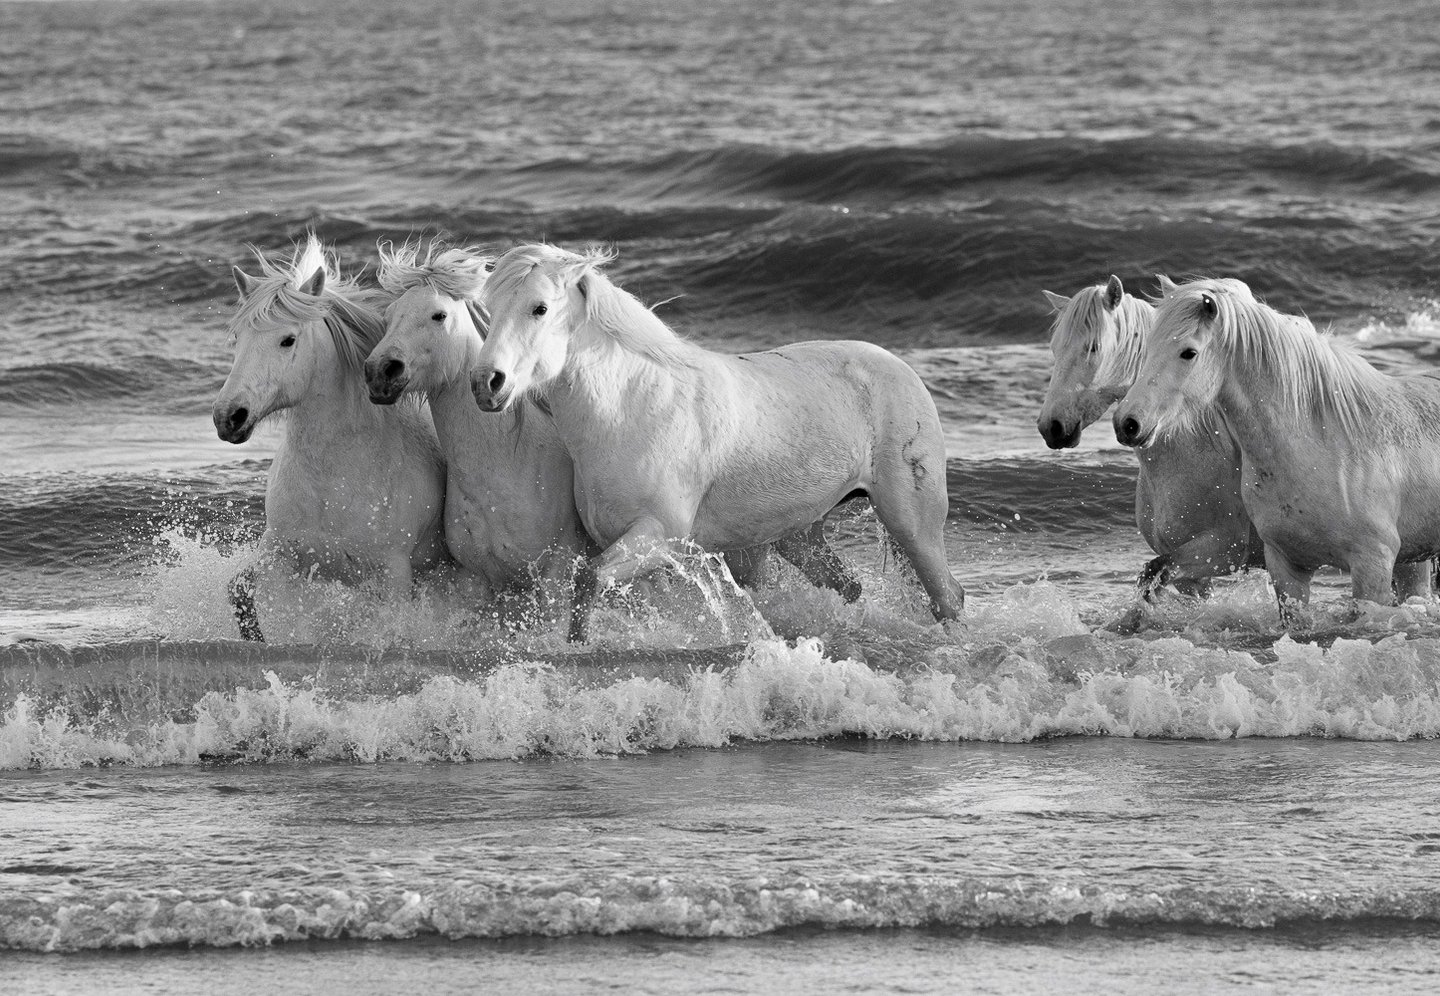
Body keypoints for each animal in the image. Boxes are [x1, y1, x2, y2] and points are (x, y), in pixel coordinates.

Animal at [212, 234, 447, 640]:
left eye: (288, 340)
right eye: (237, 338)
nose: (229, 416)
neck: (331, 481)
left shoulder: (393, 574)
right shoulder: (279, 551)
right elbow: (244, 594)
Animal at [365, 241, 865, 636]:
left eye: (438, 315)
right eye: (388, 317)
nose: (379, 373)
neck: (503, 467)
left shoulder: (558, 573)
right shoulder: (482, 582)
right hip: (792, 536)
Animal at [468, 244, 964, 635]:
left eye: (539, 308)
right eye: (490, 309)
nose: (486, 384)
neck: (633, 410)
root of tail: (899, 367)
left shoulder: (658, 537)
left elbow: (589, 581)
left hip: (911, 521)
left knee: (948, 596)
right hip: (802, 533)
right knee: (850, 586)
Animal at [1113, 277, 1439, 623]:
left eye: (1188, 353)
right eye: (1148, 348)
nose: (1127, 423)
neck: (1328, 448)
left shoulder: (1372, 563)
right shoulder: (1286, 565)